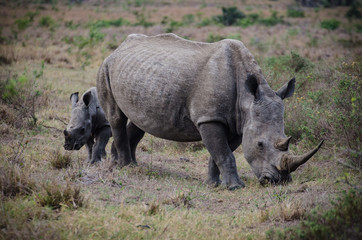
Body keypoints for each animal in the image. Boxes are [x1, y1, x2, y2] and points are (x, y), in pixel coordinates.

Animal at [96, 33, 322, 189]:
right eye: (260, 144)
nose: (279, 181)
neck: (247, 100)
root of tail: (119, 48)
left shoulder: (237, 123)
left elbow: (220, 153)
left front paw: (213, 184)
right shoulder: (210, 118)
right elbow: (224, 153)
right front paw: (235, 187)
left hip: (139, 75)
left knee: (140, 122)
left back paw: (125, 164)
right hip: (105, 67)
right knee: (116, 117)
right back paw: (125, 167)